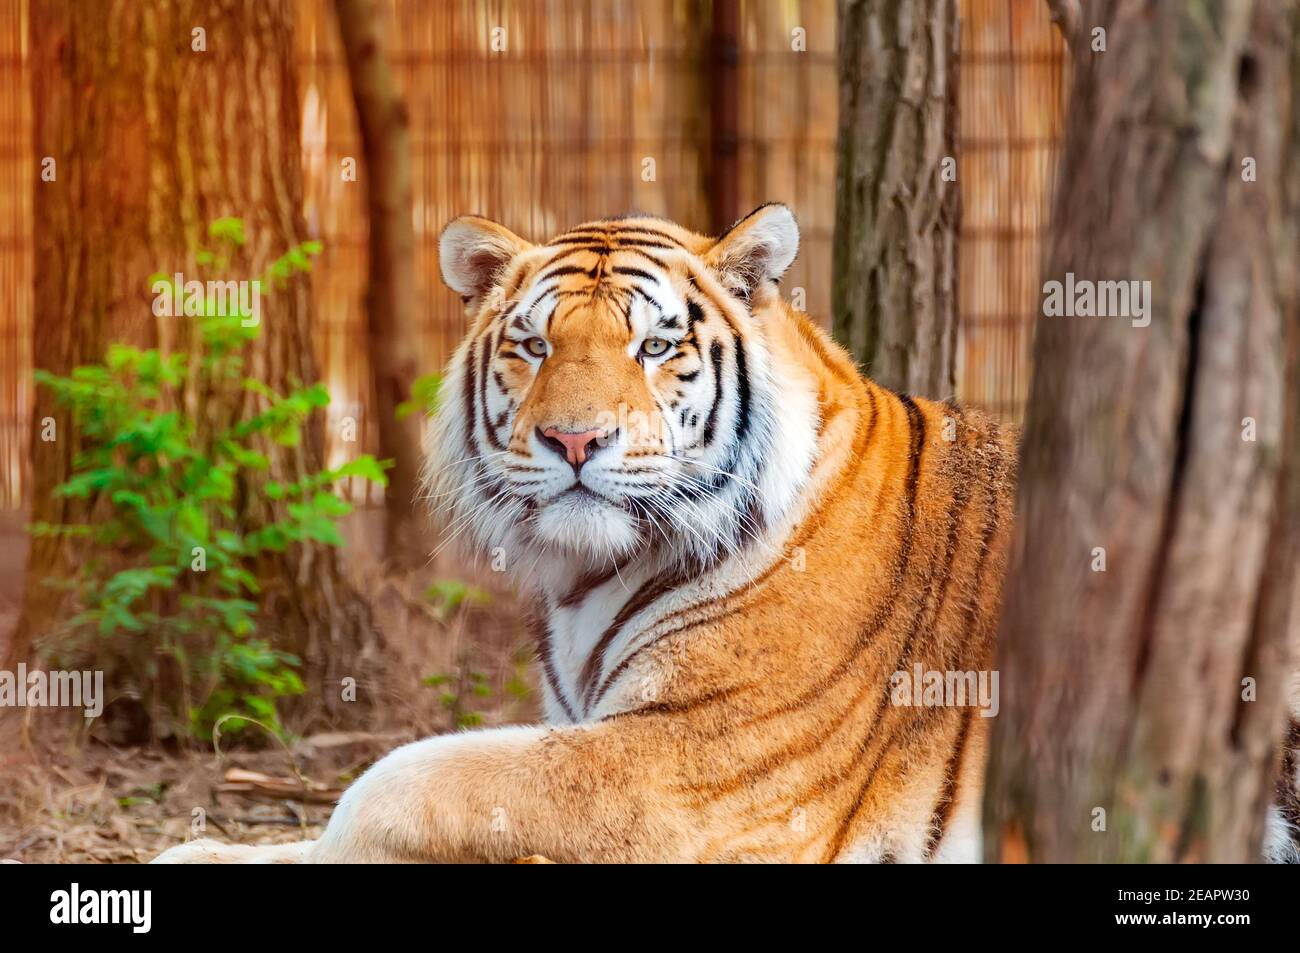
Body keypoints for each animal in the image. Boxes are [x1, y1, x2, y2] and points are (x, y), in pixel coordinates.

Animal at [159, 204, 1300, 868]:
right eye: (533, 345)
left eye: (654, 345)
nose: (575, 438)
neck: (587, 579)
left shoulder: (684, 770)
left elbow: (393, 783)